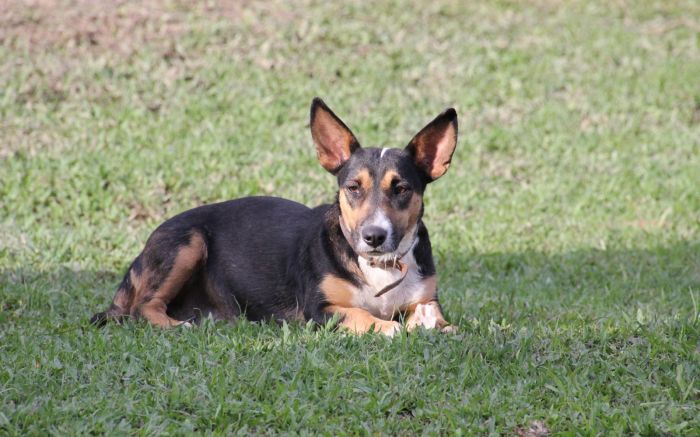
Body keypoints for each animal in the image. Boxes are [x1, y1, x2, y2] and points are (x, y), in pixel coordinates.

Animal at [89, 99, 460, 336]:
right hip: (188, 243)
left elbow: (435, 318)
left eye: (402, 189)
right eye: (354, 188)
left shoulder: (426, 300)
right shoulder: (320, 310)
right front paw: (389, 326)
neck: (379, 268)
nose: (374, 236)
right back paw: (177, 325)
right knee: (143, 307)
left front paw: (439, 327)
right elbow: (365, 317)